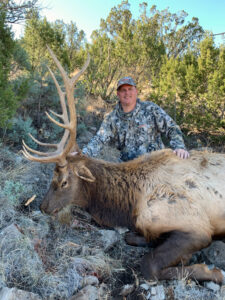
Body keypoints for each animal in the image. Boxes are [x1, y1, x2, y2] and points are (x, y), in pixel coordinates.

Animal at [22, 46, 225, 284]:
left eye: (63, 182)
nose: (43, 207)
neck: (129, 205)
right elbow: (131, 236)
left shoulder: (196, 227)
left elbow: (149, 265)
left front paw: (212, 271)